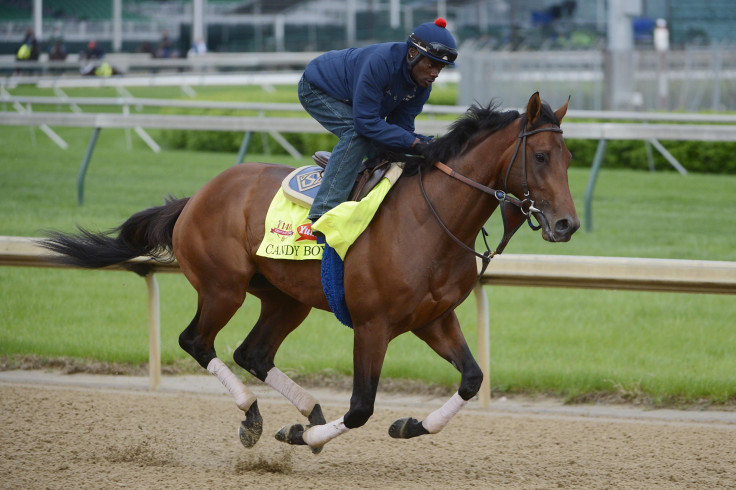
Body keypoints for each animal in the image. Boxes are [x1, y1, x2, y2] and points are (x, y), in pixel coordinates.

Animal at [41, 91, 580, 452]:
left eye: (570, 157)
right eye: (540, 156)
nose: (567, 224)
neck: (429, 220)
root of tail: (194, 198)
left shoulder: (433, 318)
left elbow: (471, 378)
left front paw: (409, 425)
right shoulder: (372, 325)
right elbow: (360, 408)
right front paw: (306, 436)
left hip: (285, 298)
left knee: (252, 351)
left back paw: (302, 408)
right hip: (222, 288)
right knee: (197, 341)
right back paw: (257, 415)